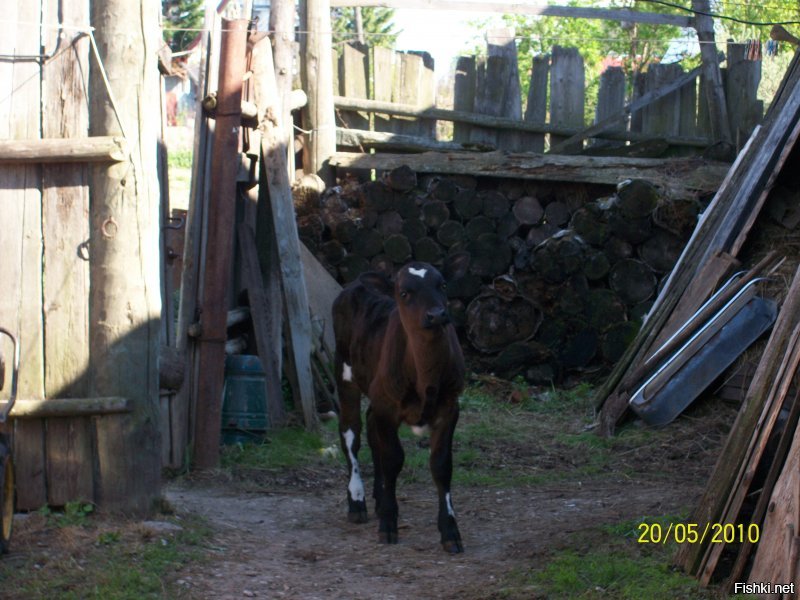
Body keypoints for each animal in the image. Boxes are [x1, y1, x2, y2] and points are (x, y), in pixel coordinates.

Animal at [332, 255, 468, 556]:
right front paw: (388, 524)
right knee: (351, 434)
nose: (437, 314)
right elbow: (393, 459)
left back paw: (377, 495)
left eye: (442, 284)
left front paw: (450, 532)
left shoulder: (450, 408)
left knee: (371, 431)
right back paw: (357, 501)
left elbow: (442, 465)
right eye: (405, 293)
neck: (425, 374)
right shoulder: (387, 408)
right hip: (344, 373)